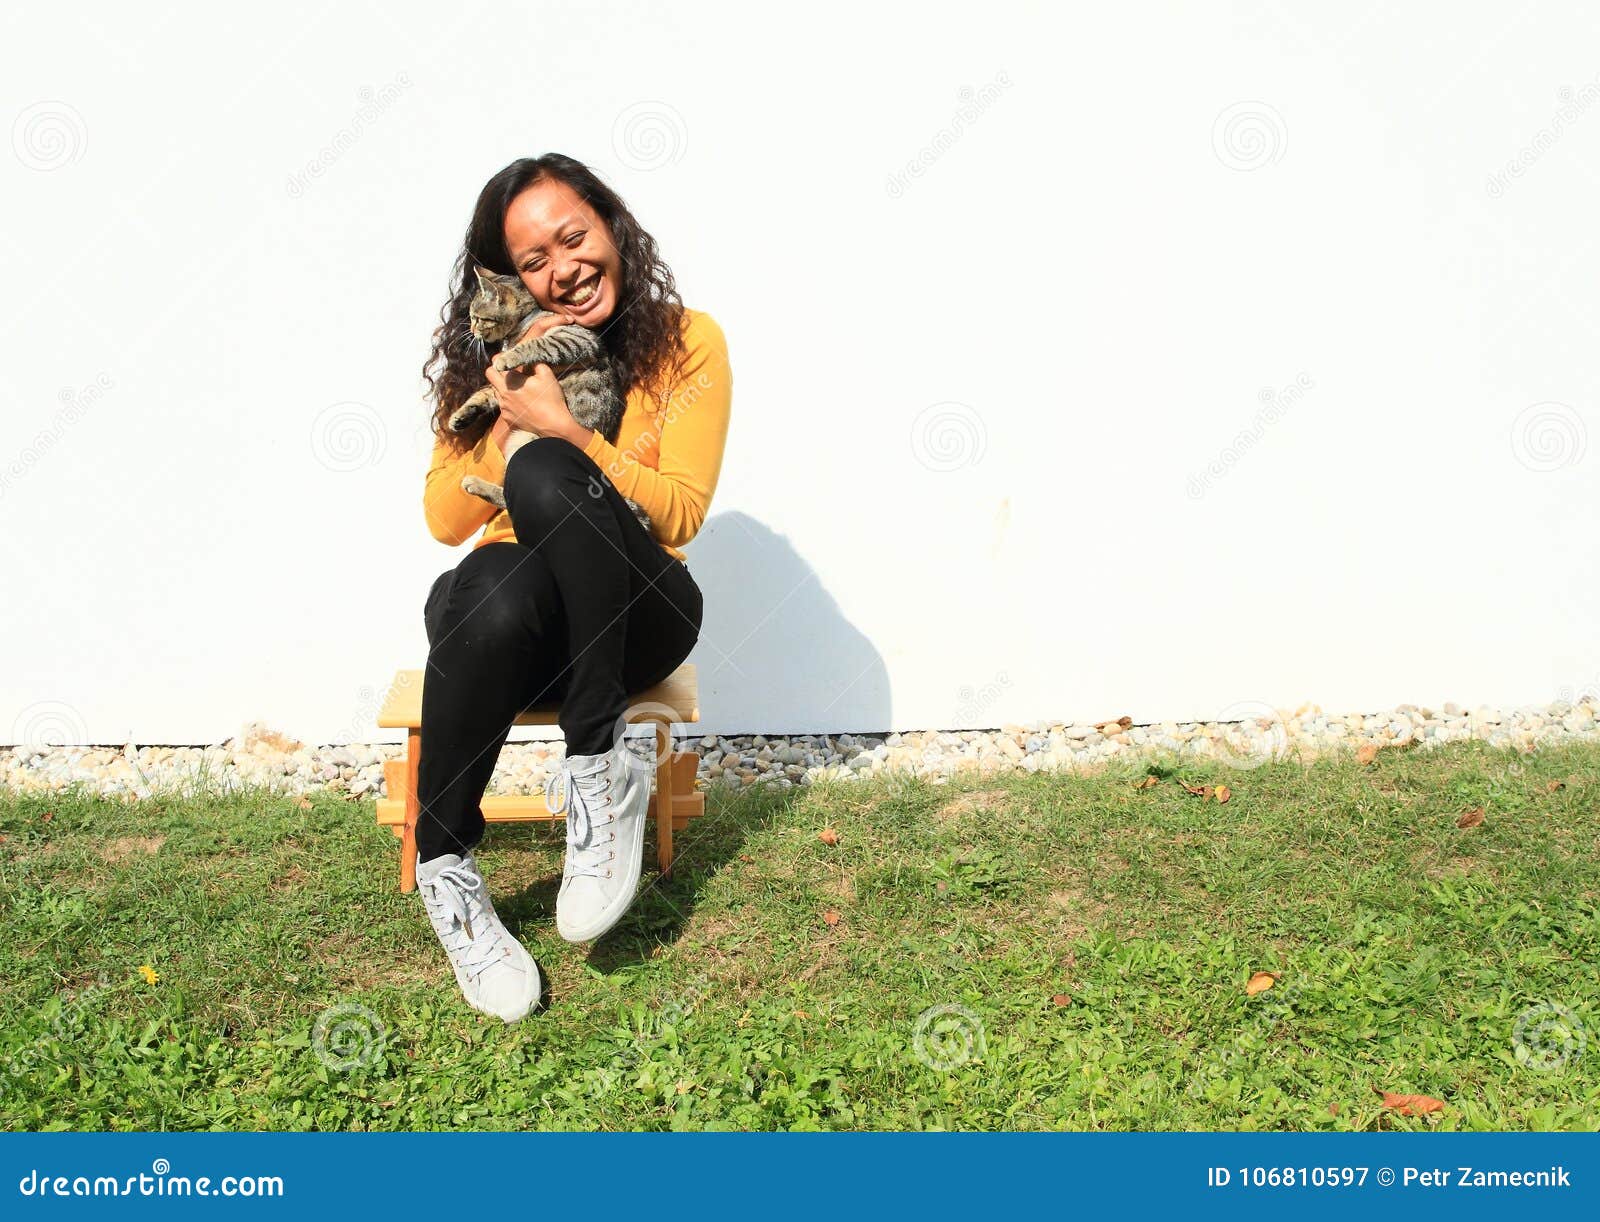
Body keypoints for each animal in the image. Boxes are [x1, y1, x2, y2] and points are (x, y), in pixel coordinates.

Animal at [444, 265, 649, 531]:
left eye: (477, 317)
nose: (471, 330)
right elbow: (484, 393)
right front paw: (460, 416)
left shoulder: (576, 339)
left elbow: (537, 344)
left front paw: (507, 356)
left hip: (528, 441)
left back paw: (477, 485)